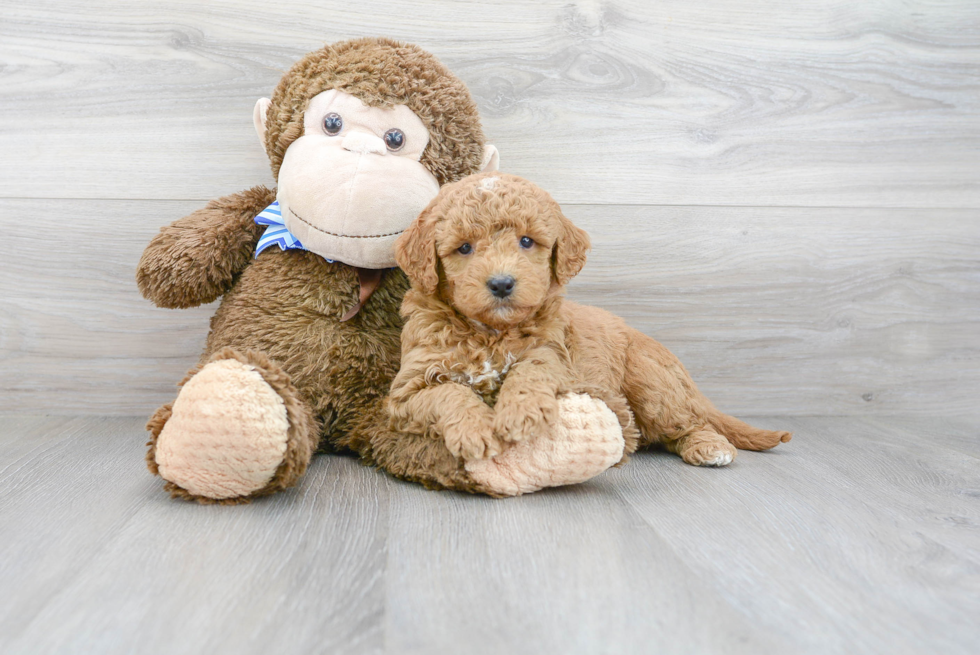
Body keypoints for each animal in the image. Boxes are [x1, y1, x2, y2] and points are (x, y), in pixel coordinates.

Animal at [386, 172, 792, 472]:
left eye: (527, 241)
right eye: (464, 248)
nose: (501, 283)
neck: (490, 333)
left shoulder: (557, 356)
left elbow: (531, 370)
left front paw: (521, 412)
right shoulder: (405, 391)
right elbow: (447, 393)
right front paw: (476, 431)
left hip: (652, 385)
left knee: (690, 422)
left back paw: (709, 447)